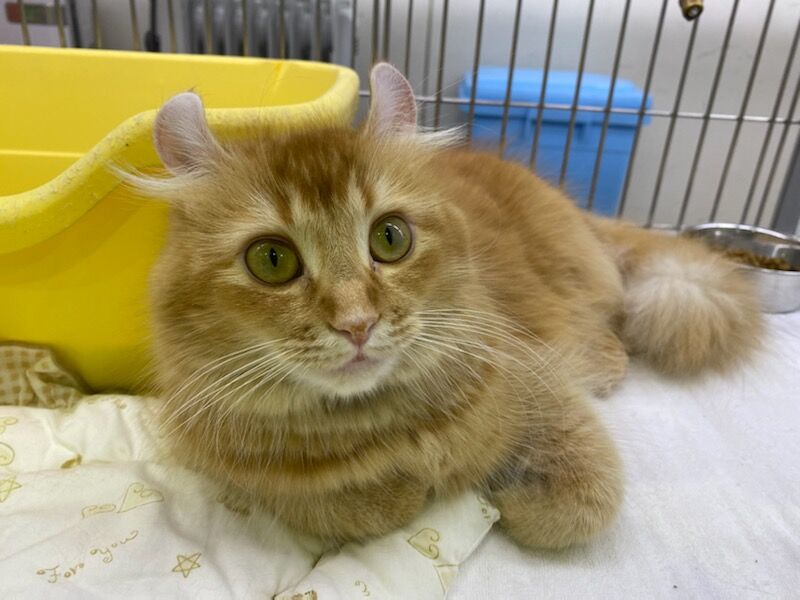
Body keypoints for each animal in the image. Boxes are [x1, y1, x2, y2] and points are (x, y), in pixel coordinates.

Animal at [130, 63, 761, 550]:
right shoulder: (258, 485)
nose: (357, 324)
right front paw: (409, 490)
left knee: (612, 324)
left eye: (390, 239)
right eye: (272, 260)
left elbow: (572, 510)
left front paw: (501, 496)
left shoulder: (550, 398)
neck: (381, 426)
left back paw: (603, 364)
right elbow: (364, 508)